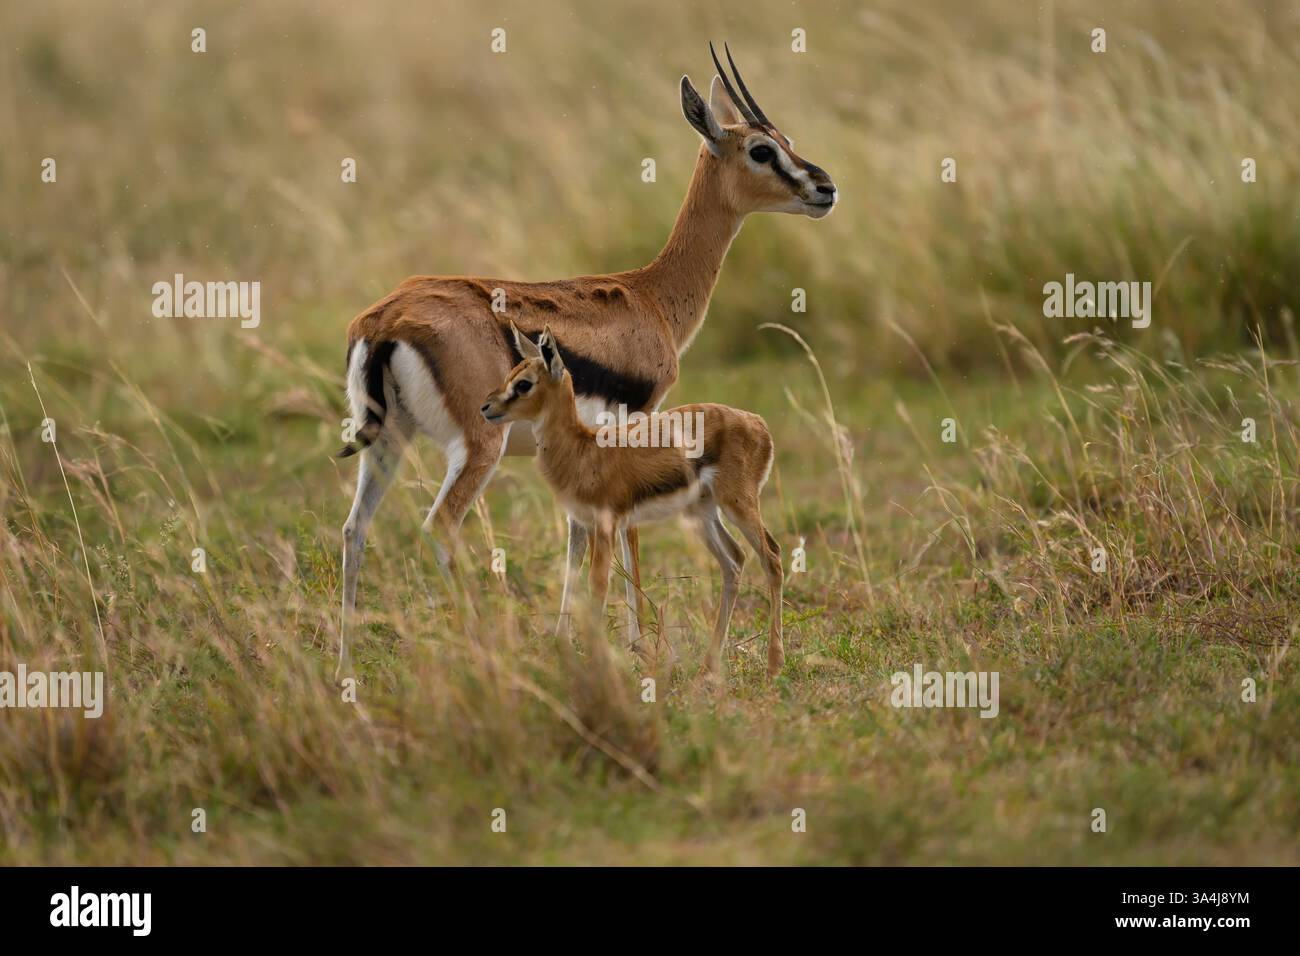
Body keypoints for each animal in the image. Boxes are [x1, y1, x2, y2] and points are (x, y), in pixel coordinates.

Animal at [481, 325, 784, 679]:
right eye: (510, 373)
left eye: (524, 383)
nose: (486, 407)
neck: (583, 450)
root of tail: (758, 422)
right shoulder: (585, 524)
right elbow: (575, 580)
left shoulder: (606, 525)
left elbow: (598, 586)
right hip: (702, 513)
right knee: (734, 560)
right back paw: (709, 664)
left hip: (738, 504)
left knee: (771, 556)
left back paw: (774, 665)